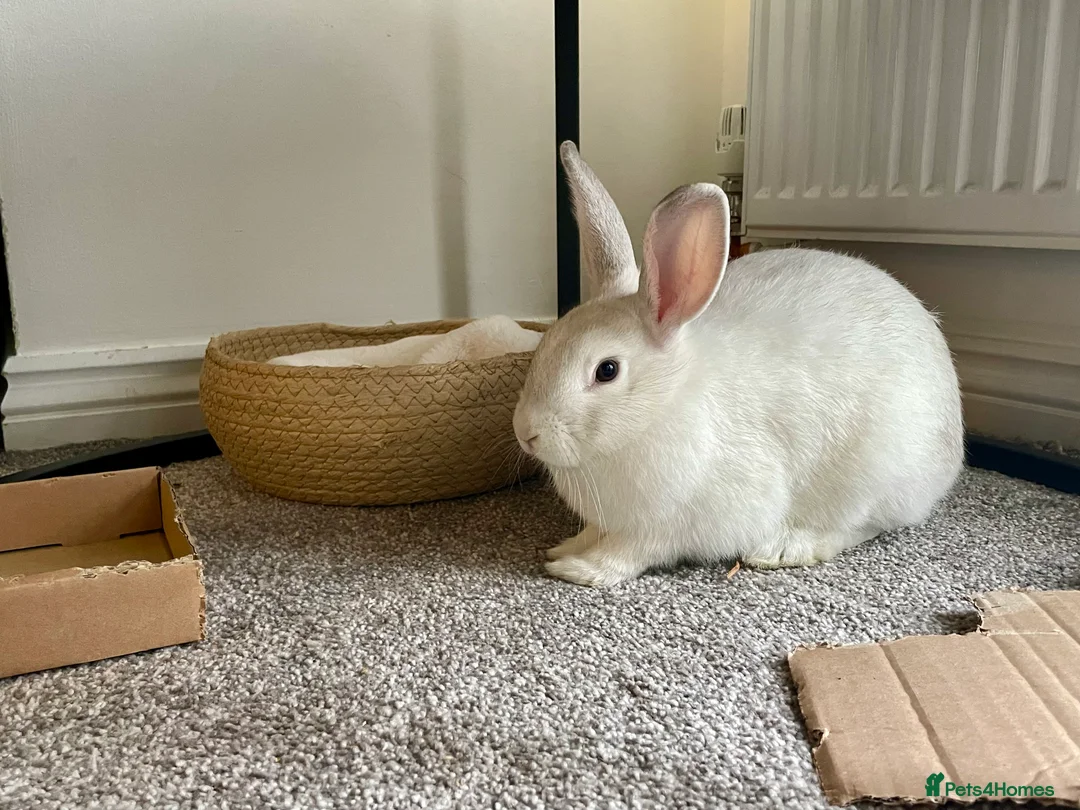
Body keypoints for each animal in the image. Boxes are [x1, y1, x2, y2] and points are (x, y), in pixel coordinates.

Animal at [513, 142, 964, 587]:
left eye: (607, 370)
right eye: (547, 342)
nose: (526, 433)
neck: (660, 408)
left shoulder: (677, 523)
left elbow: (632, 551)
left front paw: (582, 569)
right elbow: (595, 533)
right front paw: (565, 548)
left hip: (873, 477)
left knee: (861, 525)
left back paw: (786, 548)